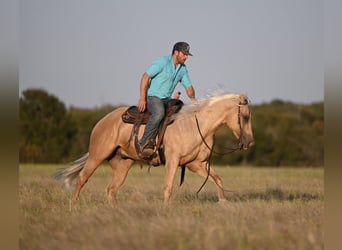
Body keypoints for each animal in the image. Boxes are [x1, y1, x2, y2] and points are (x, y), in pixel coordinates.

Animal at [54, 93, 254, 204]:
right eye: (245, 117)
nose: (250, 143)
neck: (196, 125)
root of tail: (102, 121)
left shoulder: (197, 164)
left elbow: (217, 180)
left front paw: (223, 202)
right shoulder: (173, 161)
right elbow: (168, 187)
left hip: (122, 164)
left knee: (111, 189)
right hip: (97, 156)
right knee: (81, 179)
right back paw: (73, 207)